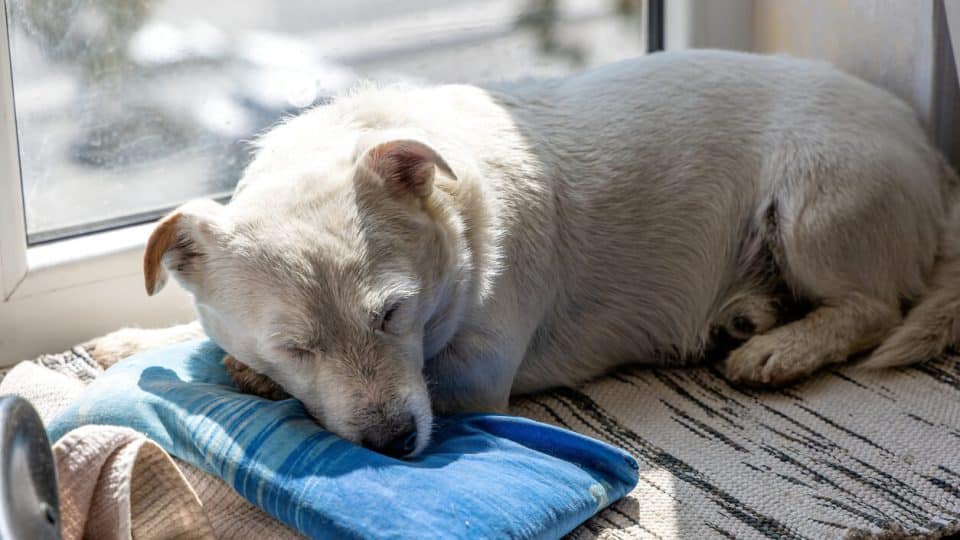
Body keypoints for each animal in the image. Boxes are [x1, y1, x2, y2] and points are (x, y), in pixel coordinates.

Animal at [137, 50, 960, 456]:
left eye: (395, 313)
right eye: (296, 346)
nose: (396, 444)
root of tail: (929, 153)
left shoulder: (473, 375)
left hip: (816, 205)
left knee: (873, 307)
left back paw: (781, 349)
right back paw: (751, 316)